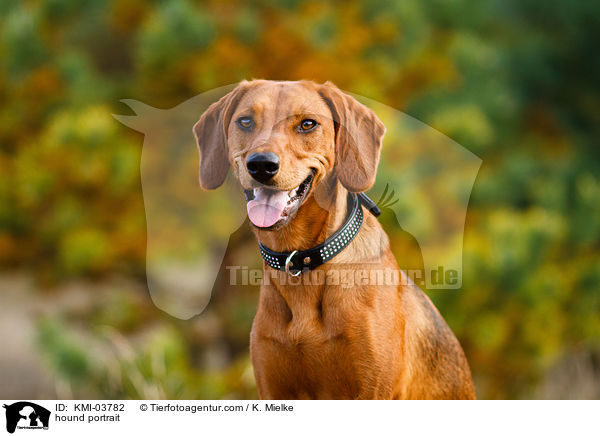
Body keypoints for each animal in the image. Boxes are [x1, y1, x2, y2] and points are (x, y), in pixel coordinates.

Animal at [195, 78, 476, 398]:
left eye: (307, 124)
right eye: (245, 121)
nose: (261, 165)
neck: (301, 262)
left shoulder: (372, 389)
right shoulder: (273, 389)